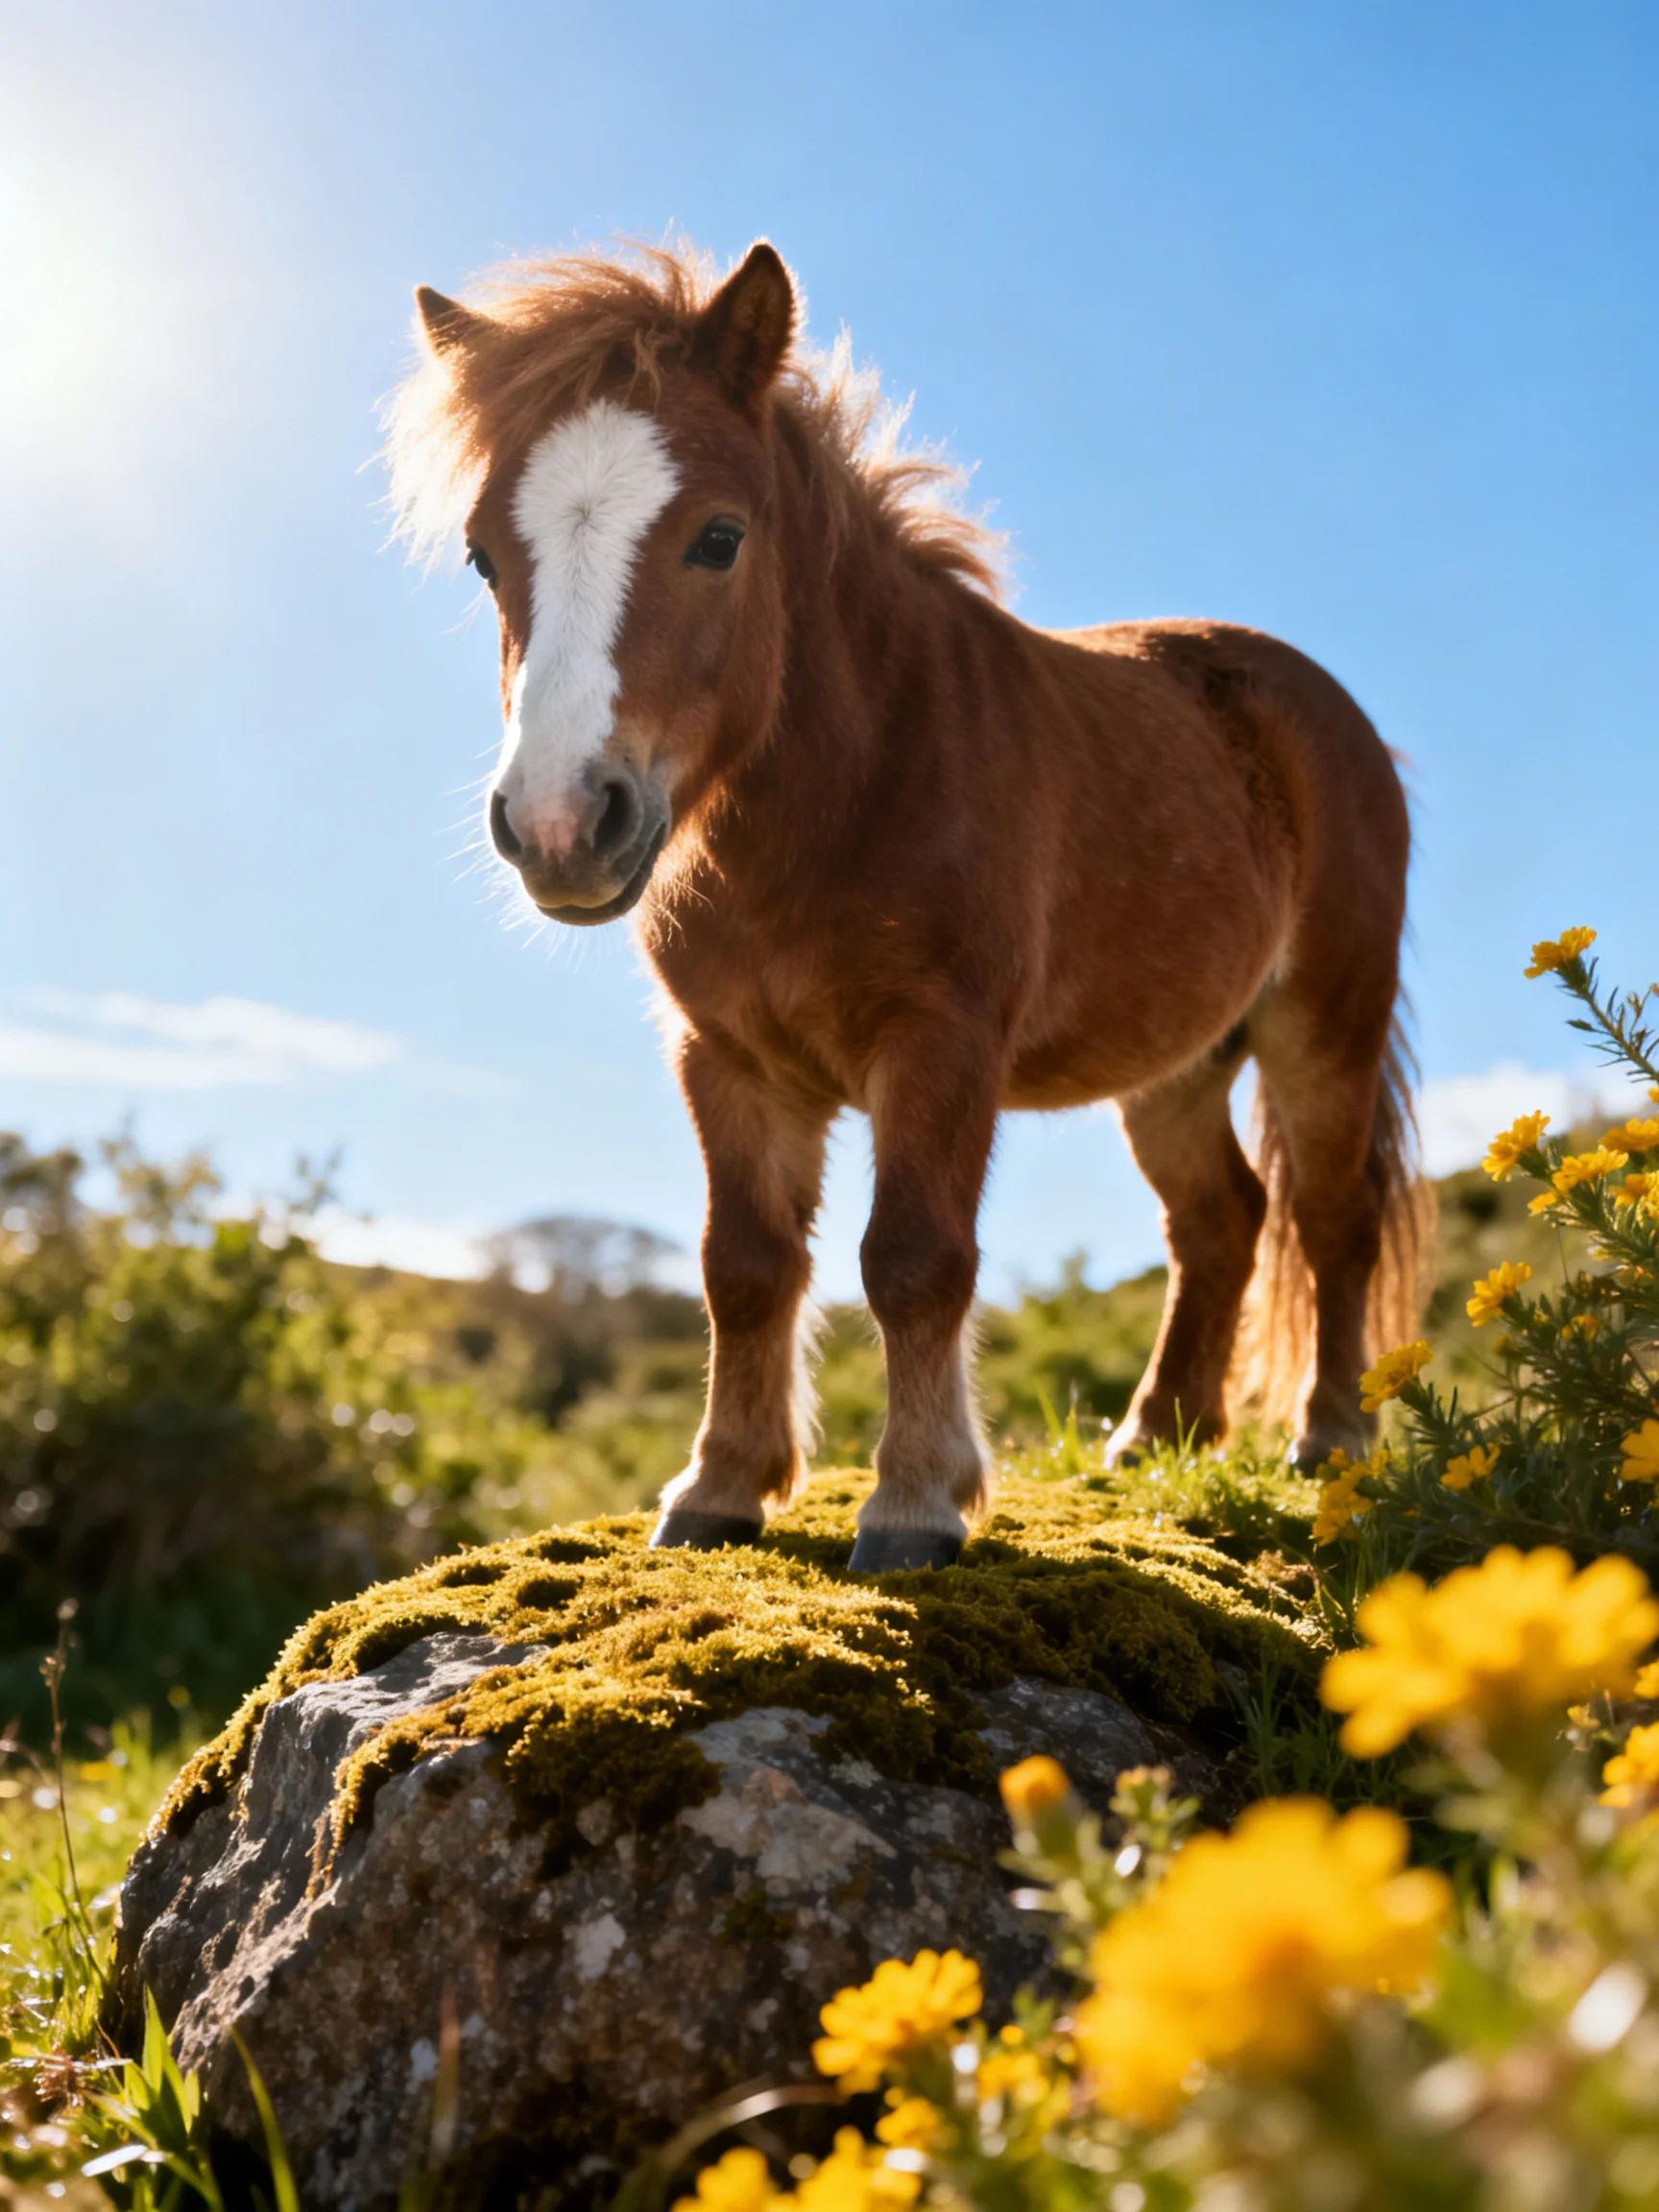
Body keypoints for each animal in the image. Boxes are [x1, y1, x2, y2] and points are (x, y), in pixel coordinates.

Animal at [385, 239, 1425, 1572]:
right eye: (482, 554)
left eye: (718, 537)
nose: (563, 824)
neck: (849, 790)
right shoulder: (727, 1061)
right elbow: (747, 1266)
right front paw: (719, 1489)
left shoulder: (936, 1046)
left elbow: (915, 1260)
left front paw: (917, 1505)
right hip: (1178, 1066)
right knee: (1221, 1220)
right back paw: (1156, 1438)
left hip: (1323, 1027)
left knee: (1335, 1217)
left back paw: (1328, 1439)